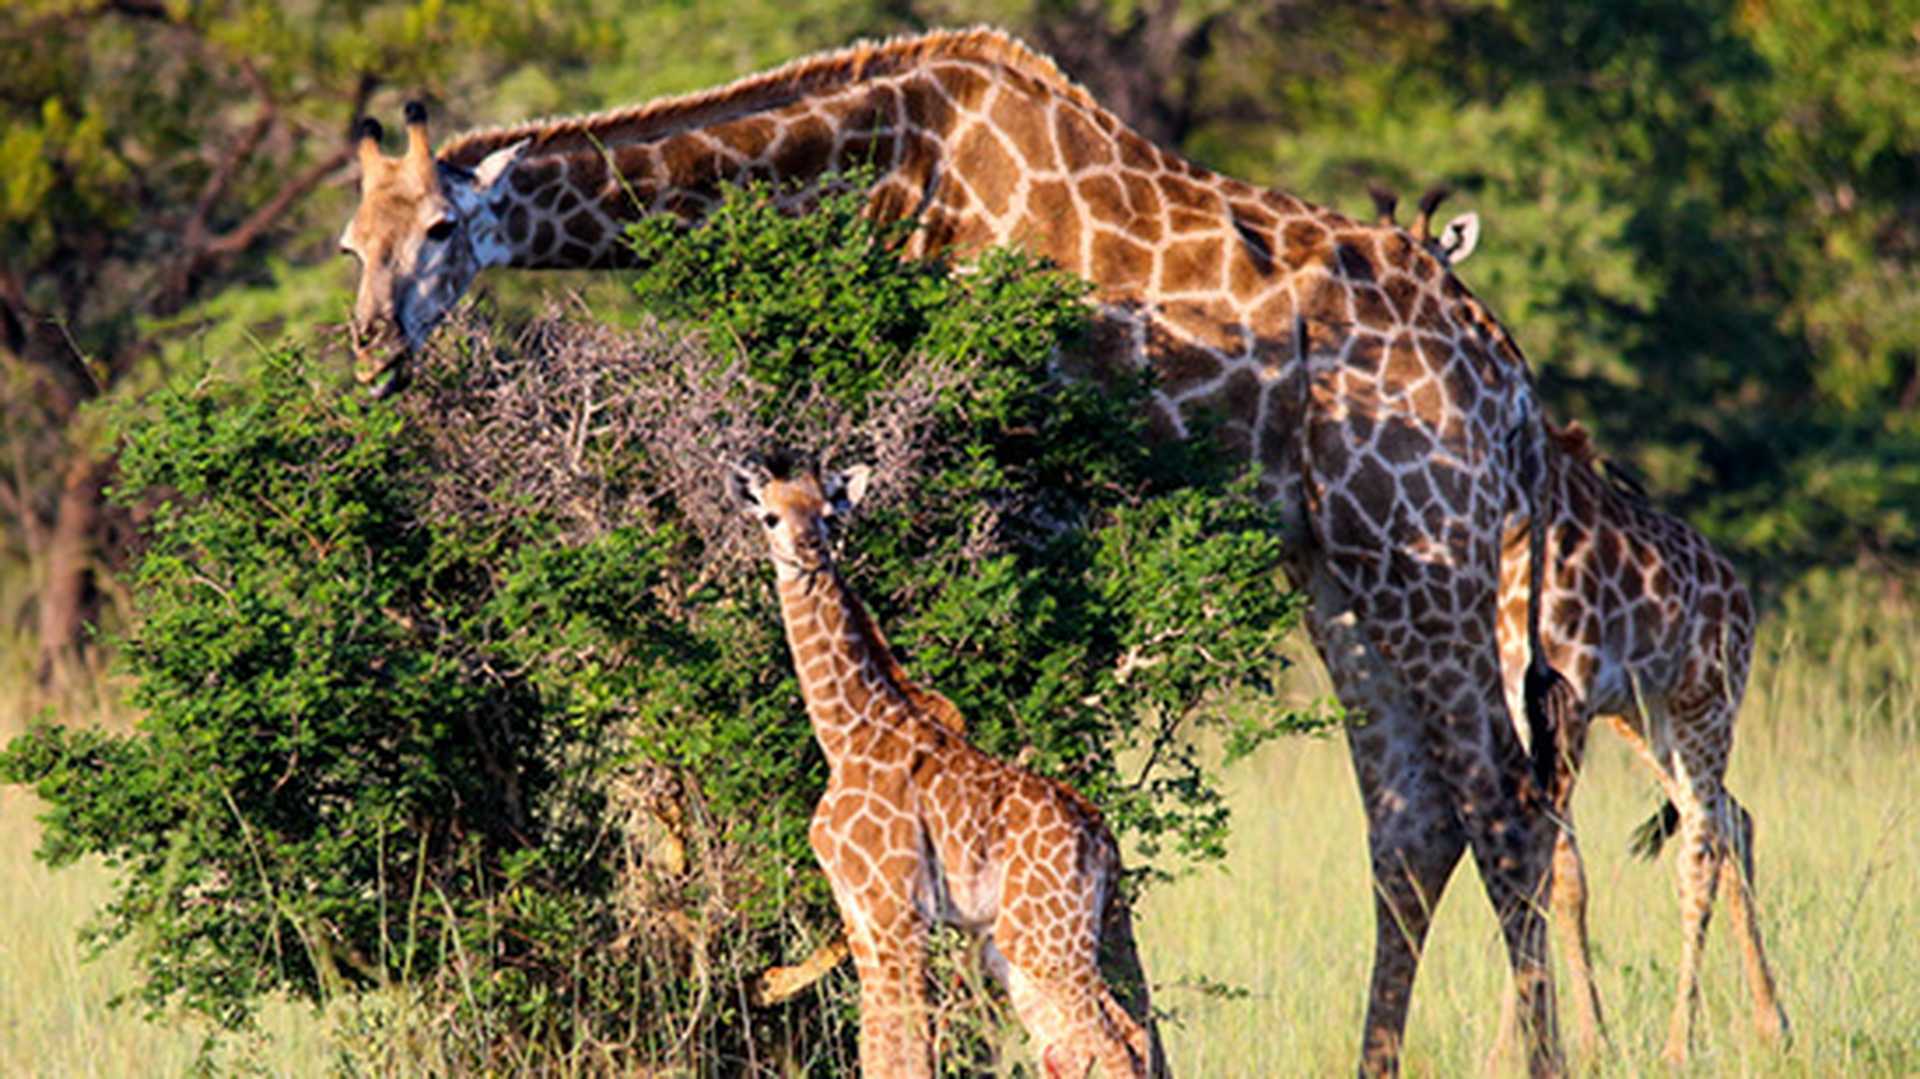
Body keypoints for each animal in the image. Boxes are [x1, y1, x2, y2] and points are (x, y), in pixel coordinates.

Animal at [731, 454, 1158, 1078]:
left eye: (830, 515)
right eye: (769, 516)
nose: (809, 549)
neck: (845, 735)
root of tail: (1104, 840)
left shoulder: (899, 911)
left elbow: (908, 1048)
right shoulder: (858, 915)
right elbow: (877, 1047)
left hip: (1042, 940)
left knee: (1114, 1044)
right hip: (1053, 939)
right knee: (1115, 1039)